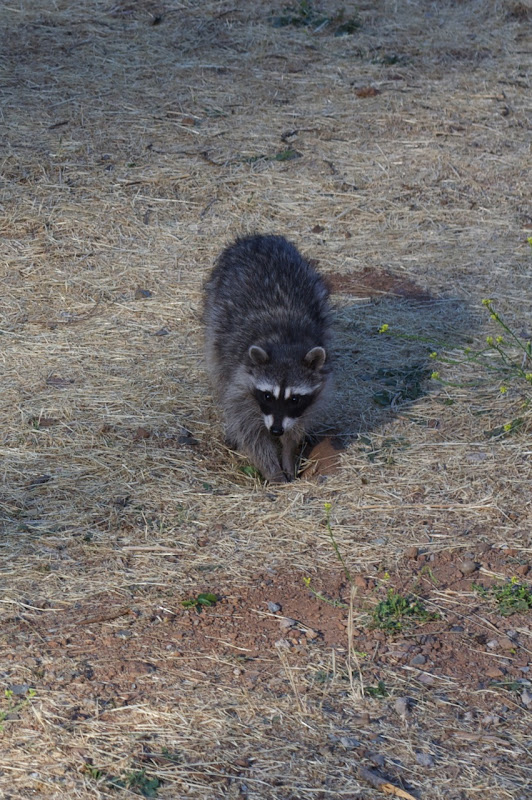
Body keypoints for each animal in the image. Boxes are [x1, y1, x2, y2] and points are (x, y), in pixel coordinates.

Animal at [203, 234, 333, 482]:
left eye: (295, 399)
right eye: (267, 396)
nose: (276, 430)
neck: (285, 342)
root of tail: (256, 237)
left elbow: (297, 424)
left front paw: (288, 454)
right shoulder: (239, 375)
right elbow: (249, 431)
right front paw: (272, 469)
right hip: (215, 308)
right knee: (217, 369)